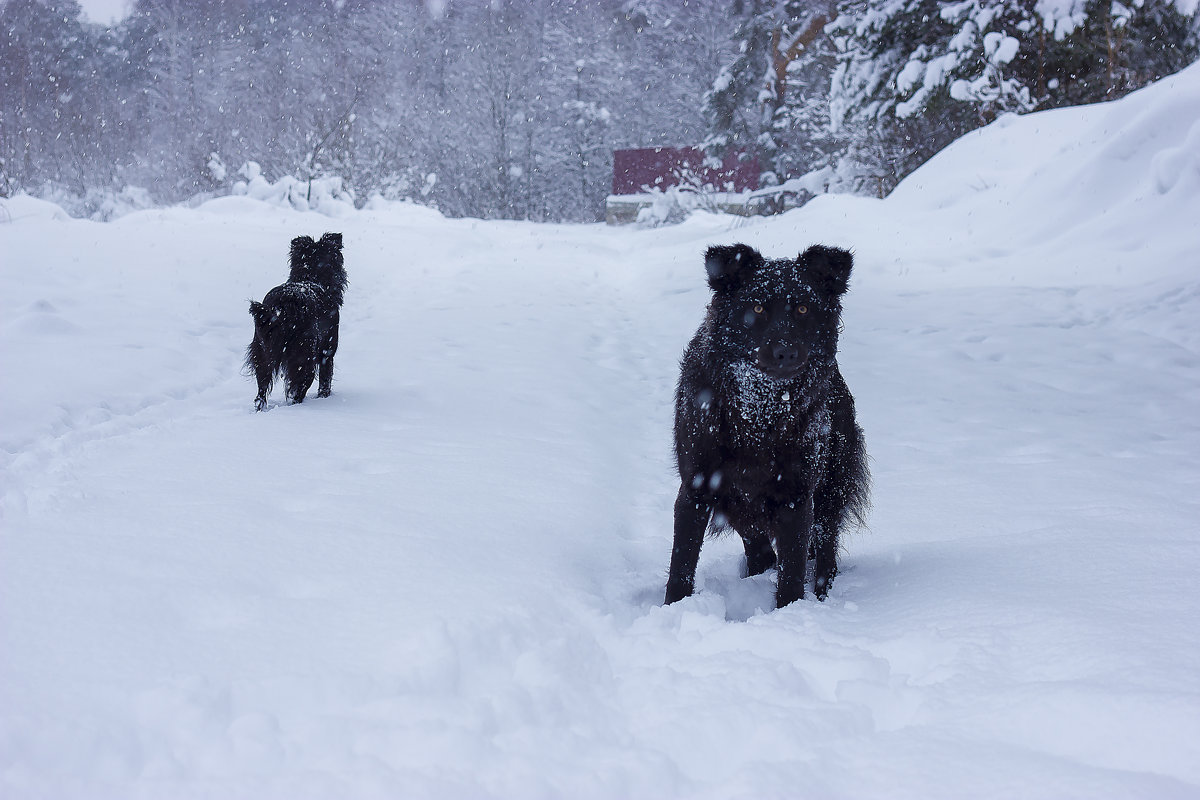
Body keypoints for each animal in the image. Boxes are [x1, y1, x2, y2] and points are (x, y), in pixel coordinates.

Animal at [244, 230, 348, 407]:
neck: (312, 278)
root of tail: (282, 306)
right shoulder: (328, 350)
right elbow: (325, 381)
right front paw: (324, 397)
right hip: (304, 356)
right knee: (297, 390)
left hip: (261, 352)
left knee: (261, 393)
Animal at [667, 242, 873, 606]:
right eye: (758, 308)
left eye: (803, 308)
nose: (785, 352)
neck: (760, 412)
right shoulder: (696, 488)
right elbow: (682, 563)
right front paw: (672, 607)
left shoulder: (796, 495)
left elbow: (792, 569)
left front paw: (790, 612)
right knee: (759, 546)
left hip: (832, 483)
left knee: (826, 545)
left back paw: (822, 593)